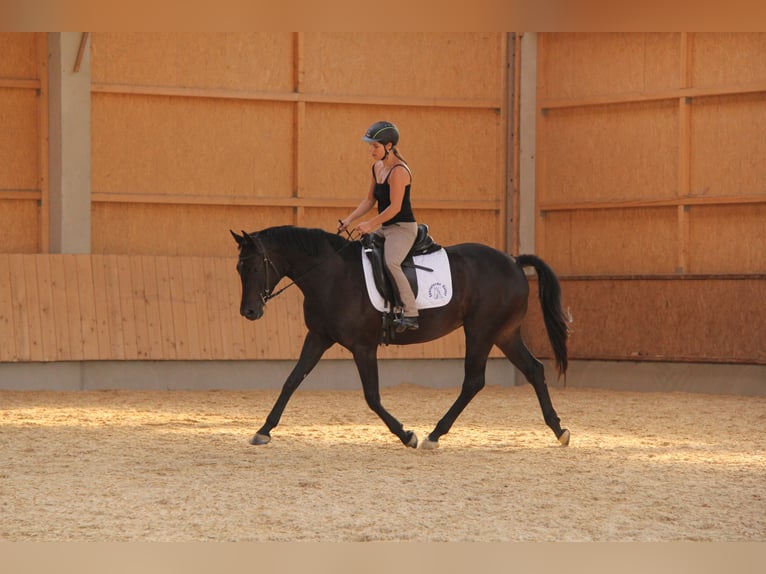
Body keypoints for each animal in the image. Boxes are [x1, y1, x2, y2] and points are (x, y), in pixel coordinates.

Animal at [231, 225, 570, 449]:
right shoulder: (317, 337)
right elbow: (291, 381)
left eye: (253, 266)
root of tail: (513, 261)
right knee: (533, 370)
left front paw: (407, 435)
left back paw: (434, 434)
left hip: (481, 331)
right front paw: (264, 430)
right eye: (238, 268)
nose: (248, 311)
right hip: (504, 334)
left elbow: (372, 396)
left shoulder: (363, 347)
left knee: (474, 381)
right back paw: (559, 429)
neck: (332, 276)